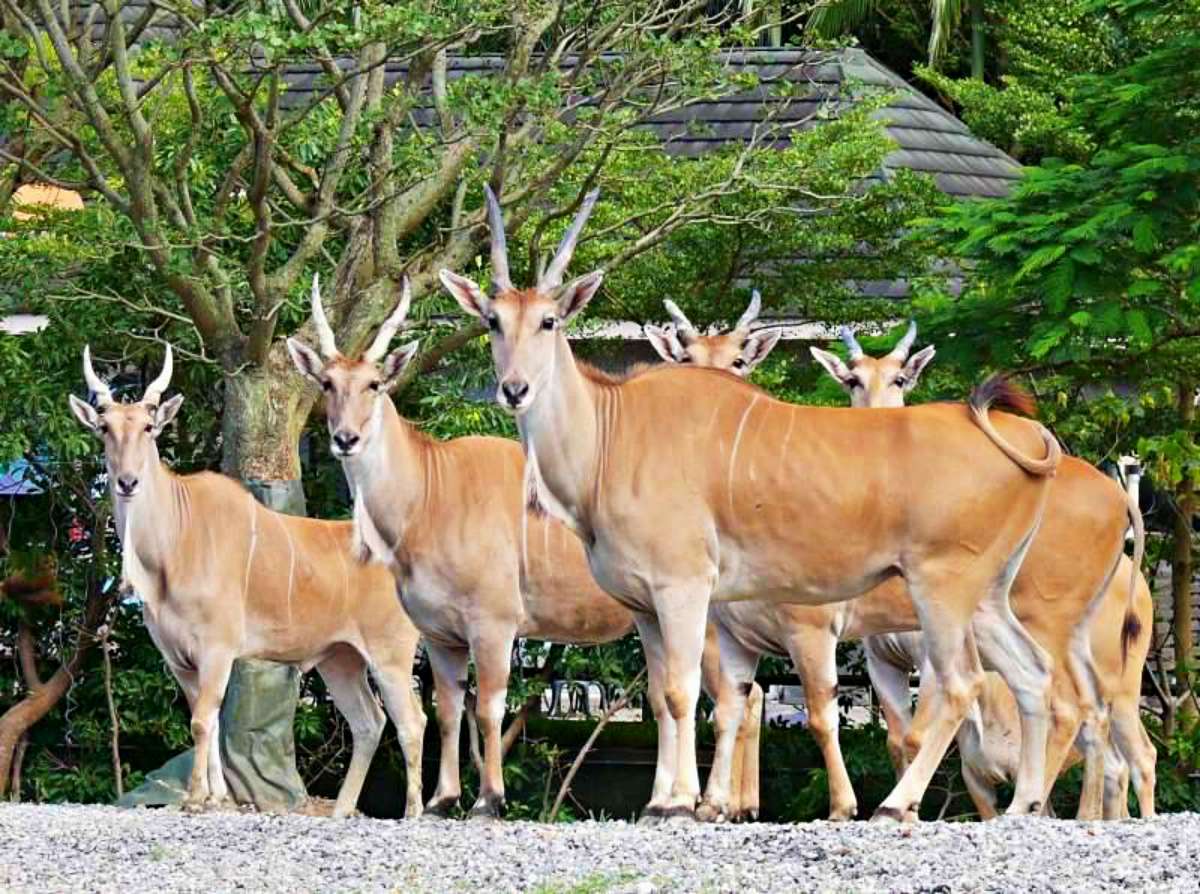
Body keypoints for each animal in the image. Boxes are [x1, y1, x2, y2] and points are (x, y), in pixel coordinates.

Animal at [68, 348, 429, 816]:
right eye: (104, 428)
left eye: (149, 427)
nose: (127, 482)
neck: (173, 543)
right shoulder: (179, 659)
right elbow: (209, 719)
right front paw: (217, 795)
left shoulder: (217, 649)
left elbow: (201, 721)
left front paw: (196, 797)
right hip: (340, 658)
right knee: (369, 721)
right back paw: (340, 810)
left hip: (391, 653)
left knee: (412, 721)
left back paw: (414, 810)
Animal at [439, 188, 1099, 820]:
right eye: (493, 320)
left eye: (550, 320)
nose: (514, 389)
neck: (611, 433)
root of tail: (1025, 437)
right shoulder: (647, 606)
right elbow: (669, 697)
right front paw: (664, 801)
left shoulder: (686, 590)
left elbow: (683, 693)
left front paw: (679, 804)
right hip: (987, 596)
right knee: (1033, 675)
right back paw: (1023, 804)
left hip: (944, 588)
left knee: (967, 686)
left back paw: (895, 806)